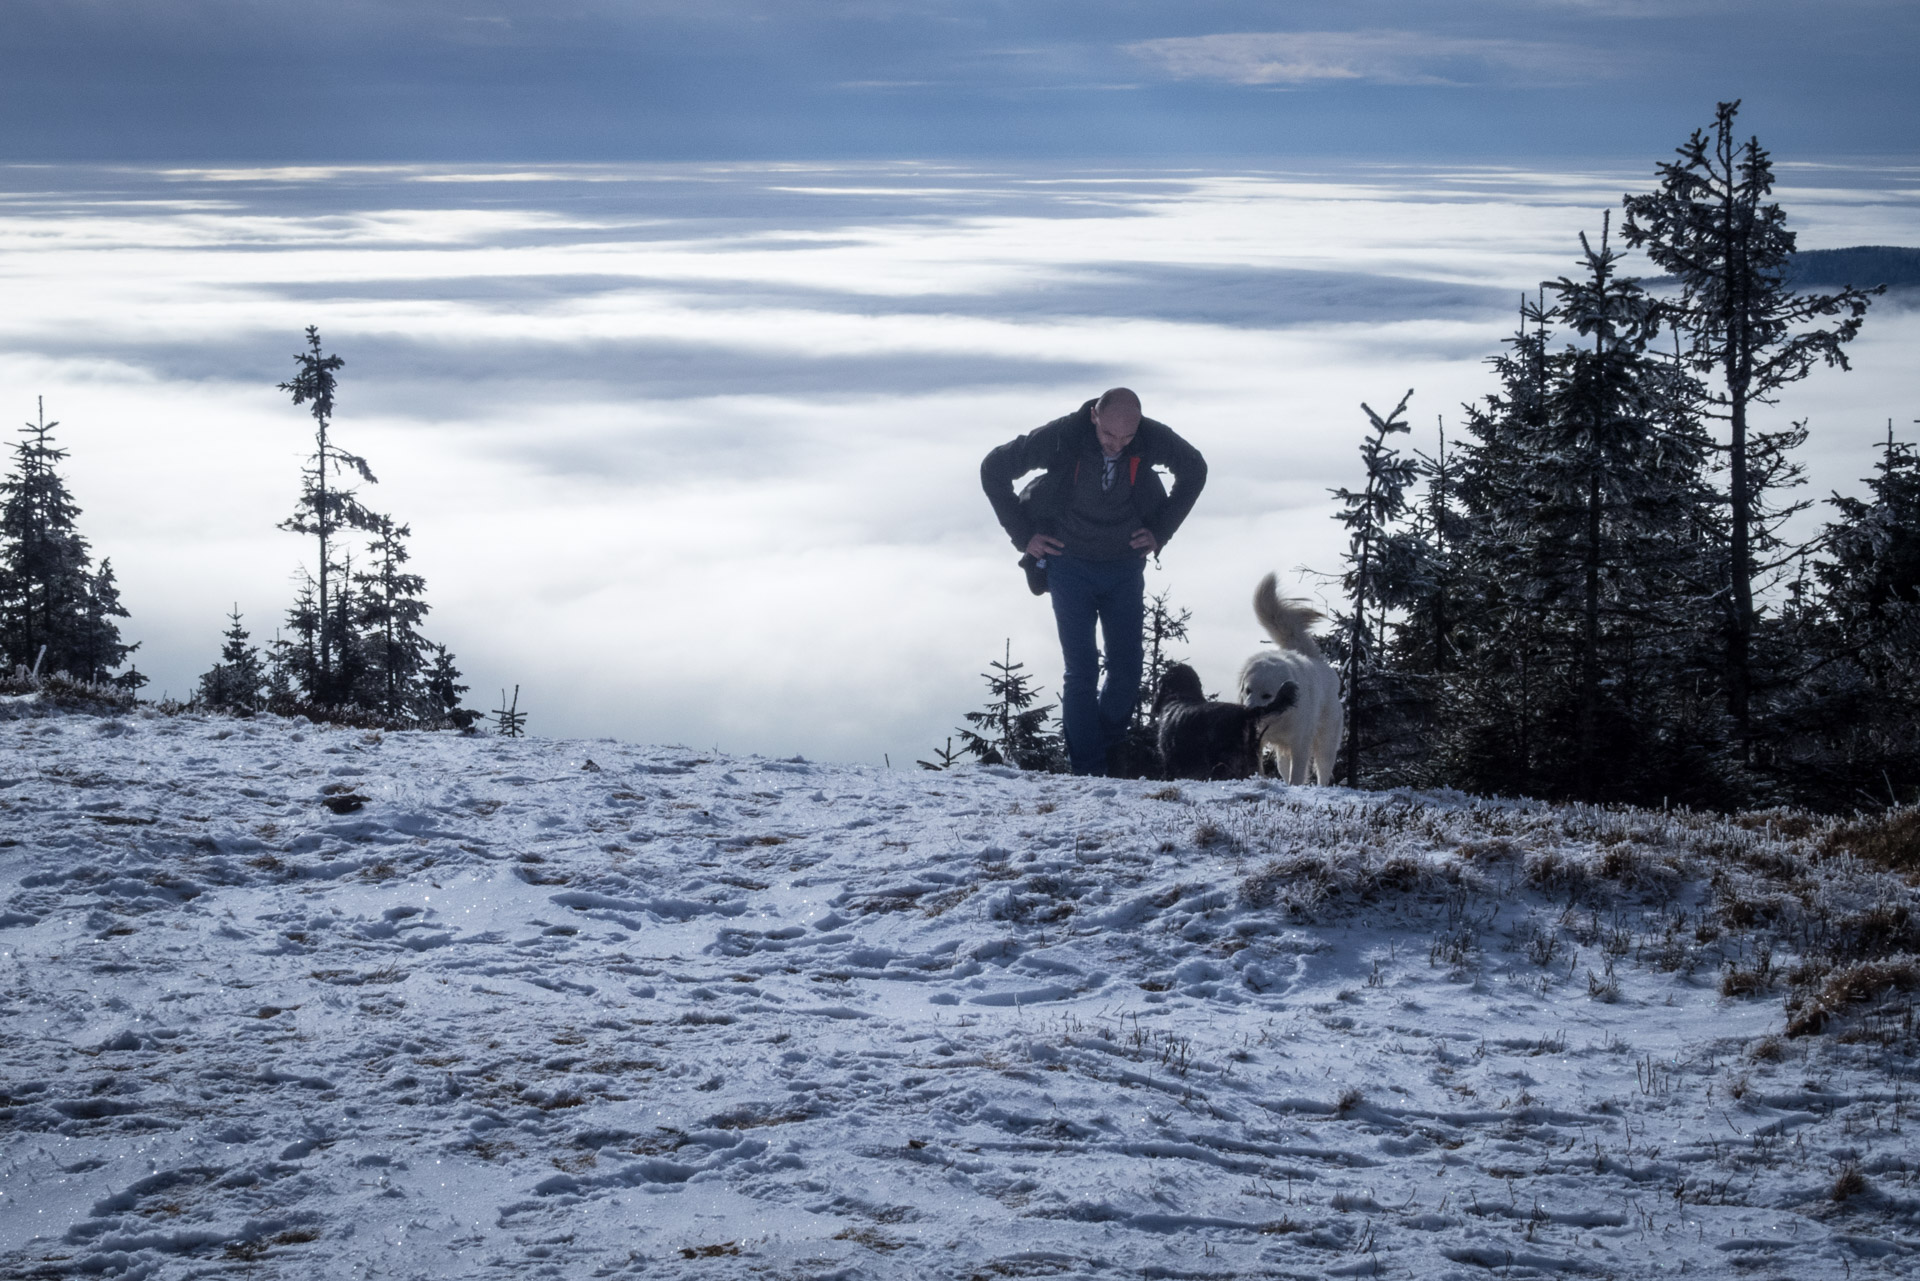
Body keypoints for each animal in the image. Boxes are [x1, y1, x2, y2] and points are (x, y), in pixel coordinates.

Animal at [1236, 576, 1344, 787]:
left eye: (1267, 695)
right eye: (1248, 690)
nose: (1248, 712)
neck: (1278, 716)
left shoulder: (1299, 744)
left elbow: (1298, 774)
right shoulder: (1258, 742)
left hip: (1325, 741)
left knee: (1323, 770)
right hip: (1283, 753)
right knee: (1284, 768)